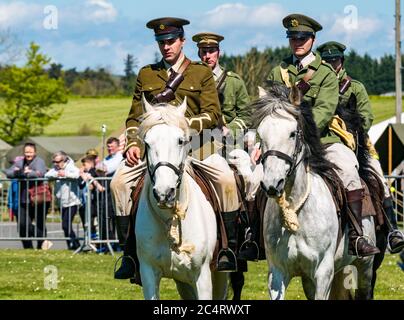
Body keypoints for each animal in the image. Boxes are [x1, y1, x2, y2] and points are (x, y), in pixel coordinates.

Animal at [136, 96, 227, 298]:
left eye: (180, 141)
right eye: (147, 142)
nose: (164, 193)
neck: (170, 218)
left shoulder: (202, 276)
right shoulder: (148, 273)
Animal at [254, 85, 374, 300]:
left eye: (293, 133)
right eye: (261, 134)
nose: (271, 184)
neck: (295, 208)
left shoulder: (323, 274)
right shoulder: (277, 274)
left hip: (365, 268)